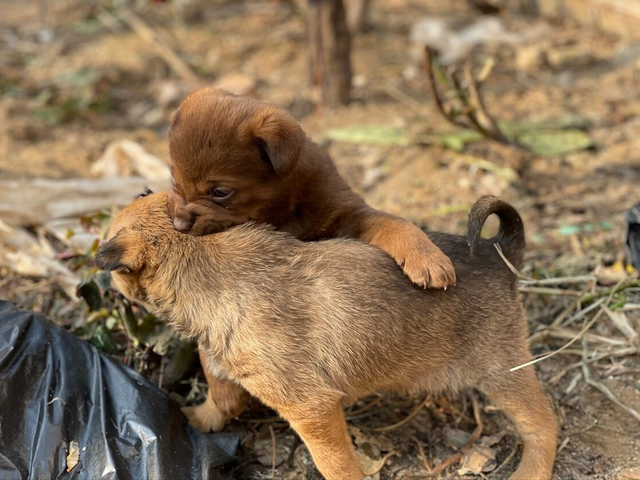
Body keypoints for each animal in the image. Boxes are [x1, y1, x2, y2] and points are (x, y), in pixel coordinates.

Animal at [97, 192, 556, 480]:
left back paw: (530, 471)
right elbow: (220, 398)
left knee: (543, 424)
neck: (201, 265)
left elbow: (334, 462)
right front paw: (195, 418)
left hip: (502, 371)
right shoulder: (223, 363)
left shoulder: (311, 409)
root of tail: (499, 250)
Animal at [165, 86, 456, 288]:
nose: (178, 225)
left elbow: (394, 223)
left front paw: (427, 256)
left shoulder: (347, 214)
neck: (286, 207)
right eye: (174, 181)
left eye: (220, 192)